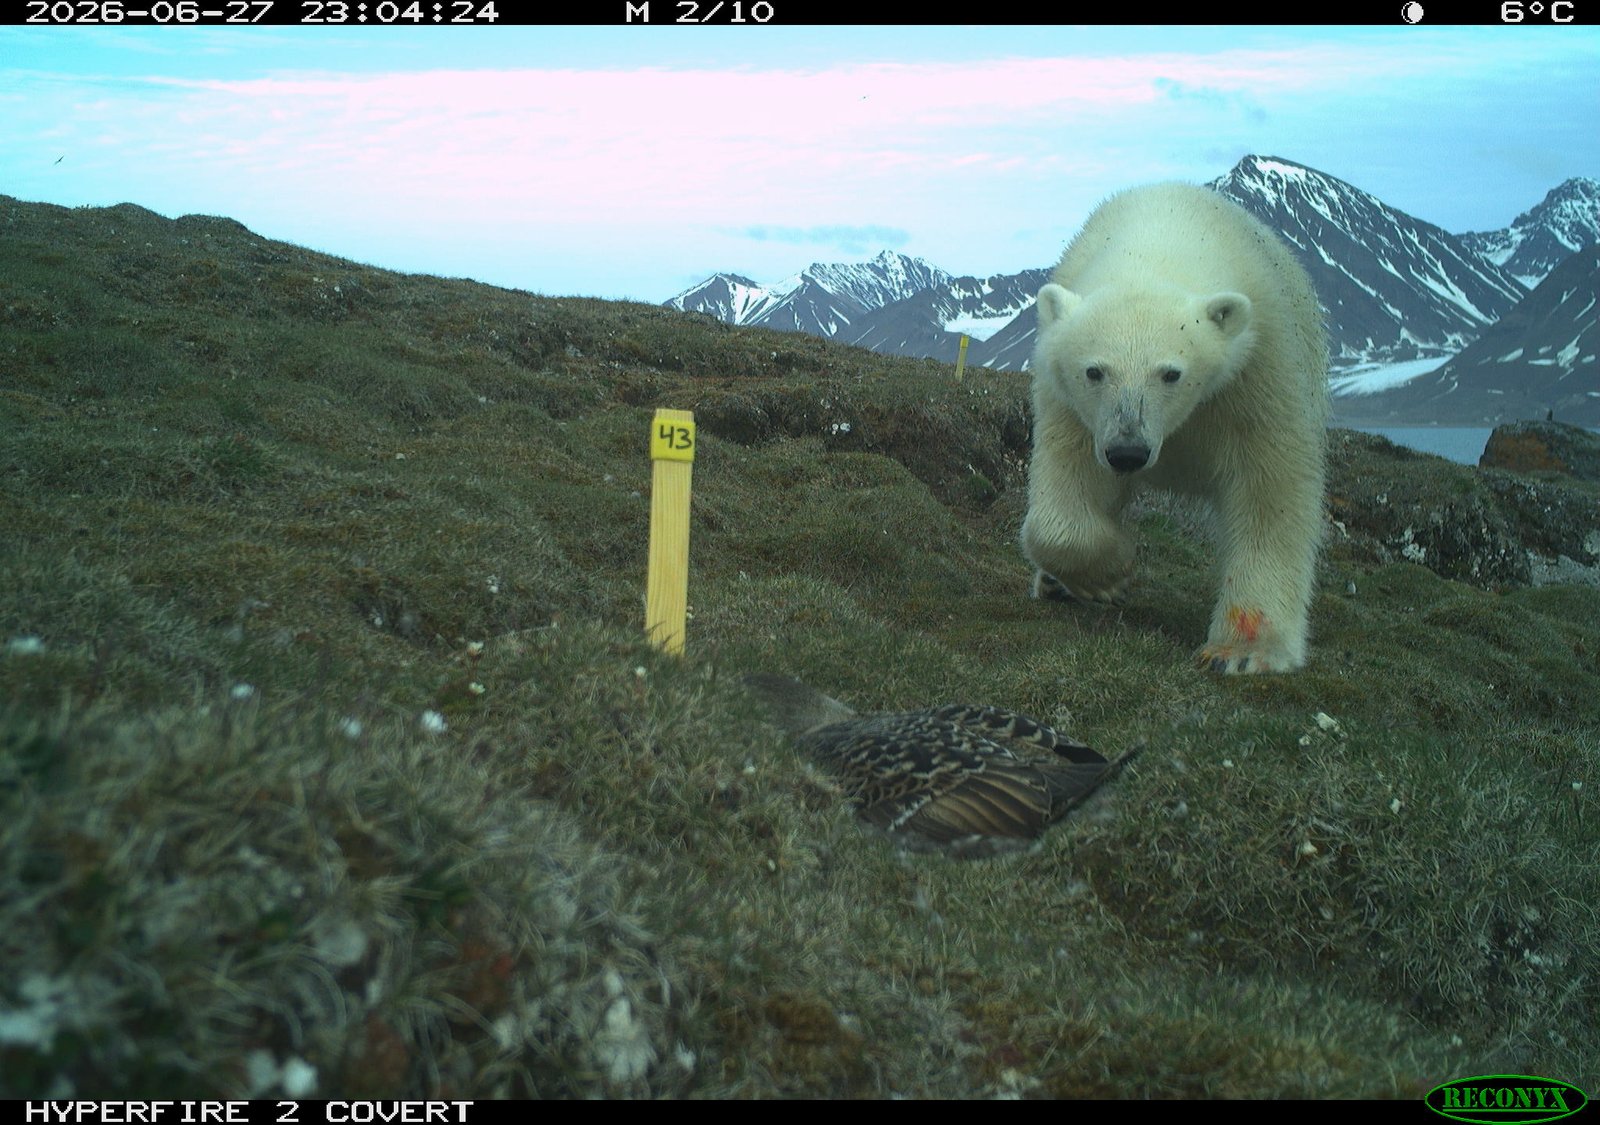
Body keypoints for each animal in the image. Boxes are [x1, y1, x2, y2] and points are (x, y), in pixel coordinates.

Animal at [1020, 181, 1329, 674]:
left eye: (1171, 373)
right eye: (1094, 371)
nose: (1128, 452)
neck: (1162, 231)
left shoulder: (1260, 367)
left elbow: (1270, 488)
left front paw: (1243, 652)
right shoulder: (1072, 405)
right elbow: (1061, 502)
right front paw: (1110, 575)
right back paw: (1053, 583)